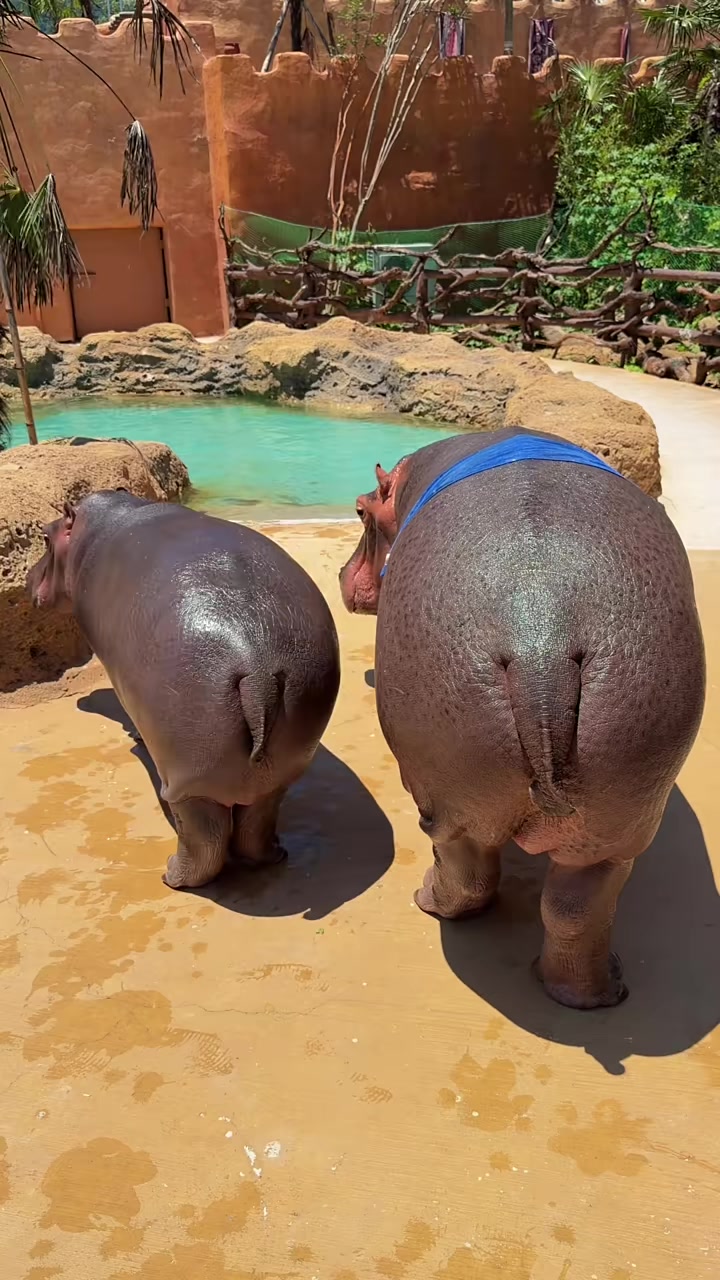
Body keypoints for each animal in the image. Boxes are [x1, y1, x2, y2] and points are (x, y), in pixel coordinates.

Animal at [28, 491, 340, 890]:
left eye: (45, 536)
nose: (26, 577)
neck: (94, 531)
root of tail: (256, 666)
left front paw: (135, 737)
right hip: (283, 761)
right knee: (257, 818)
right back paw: (274, 855)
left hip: (188, 781)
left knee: (203, 837)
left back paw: (172, 876)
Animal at [340, 428, 705, 1009]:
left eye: (358, 509)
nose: (341, 575)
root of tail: (543, 653)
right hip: (620, 814)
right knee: (577, 905)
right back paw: (595, 994)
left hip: (446, 798)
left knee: (465, 869)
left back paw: (427, 901)